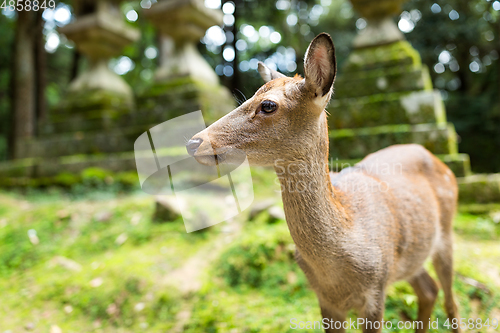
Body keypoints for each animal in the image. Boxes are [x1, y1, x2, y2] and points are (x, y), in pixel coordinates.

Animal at [185, 32, 460, 330]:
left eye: (268, 105)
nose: (193, 142)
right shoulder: (325, 300)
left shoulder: (376, 291)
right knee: (429, 290)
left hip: (446, 234)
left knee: (450, 300)